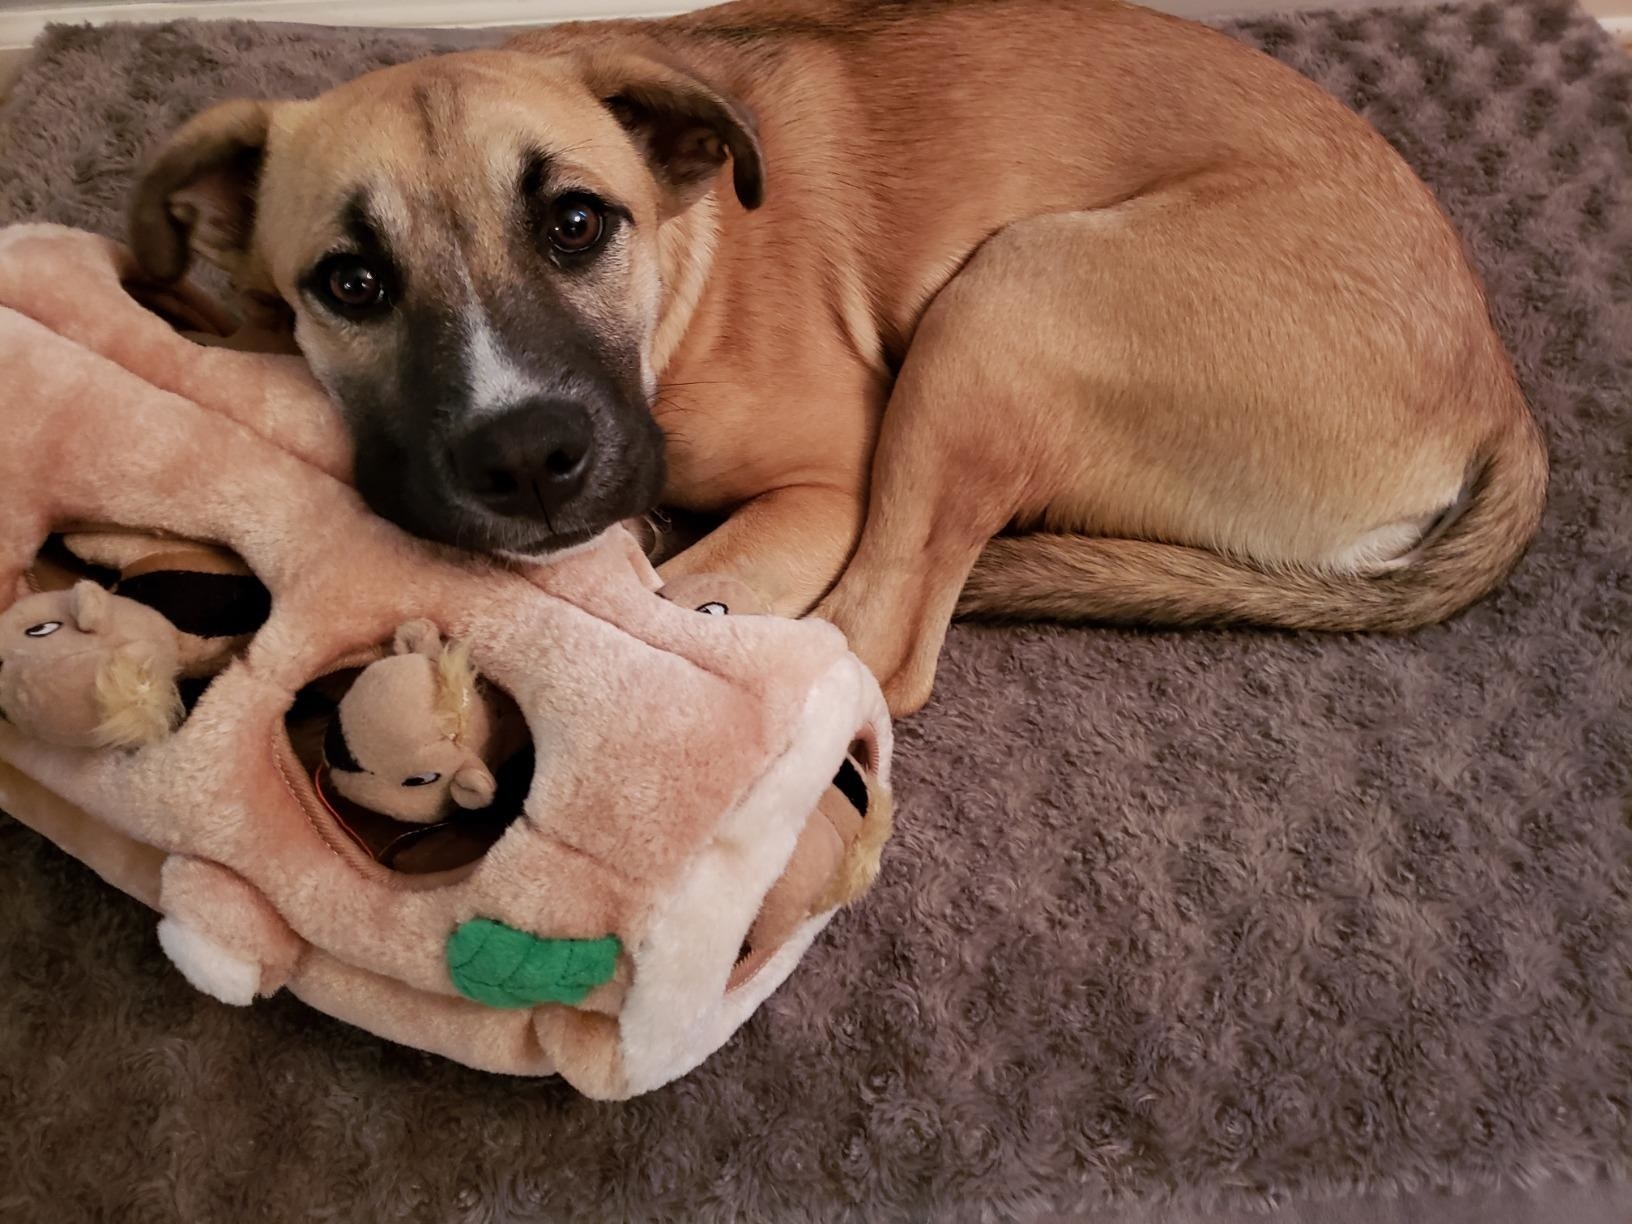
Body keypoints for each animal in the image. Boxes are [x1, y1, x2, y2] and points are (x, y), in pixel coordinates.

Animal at [124, 0, 1540, 718]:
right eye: (351, 284)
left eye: (577, 223)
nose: (528, 459)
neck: (683, 271)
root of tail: (1502, 402)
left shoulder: (830, 473)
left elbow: (714, 593)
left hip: (1005, 303)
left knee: (879, 643)